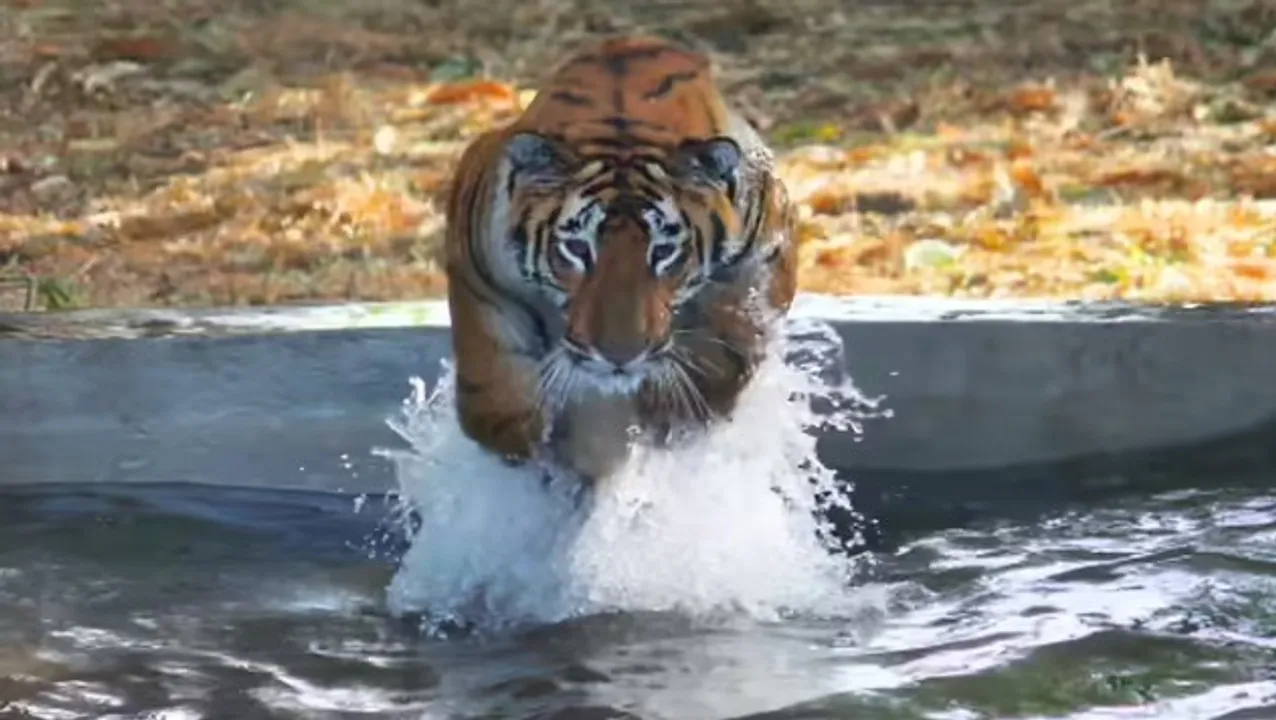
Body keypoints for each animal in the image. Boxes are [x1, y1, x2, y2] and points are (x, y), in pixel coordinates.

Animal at [442, 35, 799, 485]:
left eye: (664, 252)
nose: (620, 358)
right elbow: (492, 384)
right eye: (577, 249)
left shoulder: (767, 243)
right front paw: (537, 438)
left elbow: (731, 340)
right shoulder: (479, 273)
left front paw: (671, 412)